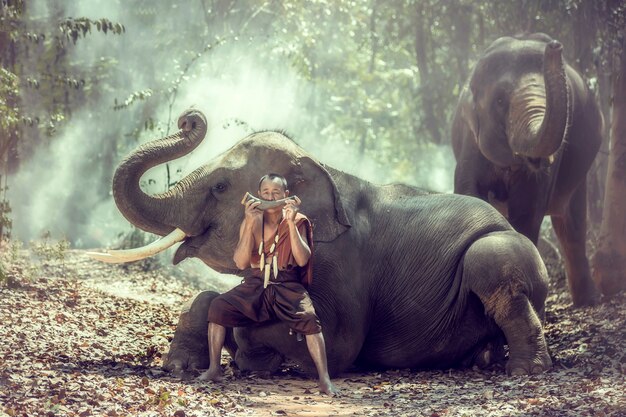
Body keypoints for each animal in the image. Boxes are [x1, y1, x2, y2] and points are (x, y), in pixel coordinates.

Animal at [94, 107, 552, 376]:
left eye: (220, 186)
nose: (188, 119)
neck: (320, 166)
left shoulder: (339, 263)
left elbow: (338, 346)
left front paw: (252, 357)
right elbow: (216, 300)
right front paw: (180, 367)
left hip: (504, 250)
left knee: (493, 269)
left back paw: (526, 371)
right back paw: (483, 359)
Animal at [450, 32, 604, 306]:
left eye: (568, 100)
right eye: (500, 101)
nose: (554, 46)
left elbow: (527, 208)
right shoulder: (471, 139)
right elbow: (470, 192)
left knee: (572, 224)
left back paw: (589, 301)